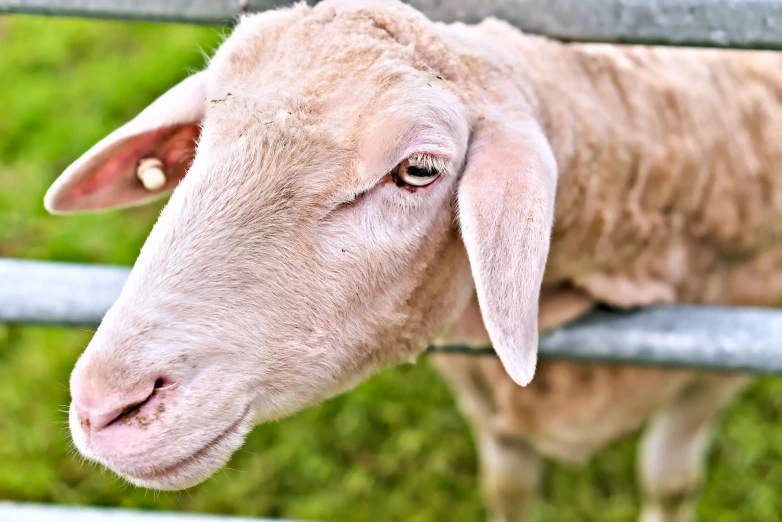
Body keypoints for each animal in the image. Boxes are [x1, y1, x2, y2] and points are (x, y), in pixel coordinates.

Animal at [44, 1, 782, 520]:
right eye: (201, 139)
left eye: (419, 170)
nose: (108, 407)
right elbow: (508, 484)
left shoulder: (712, 373)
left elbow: (669, 480)